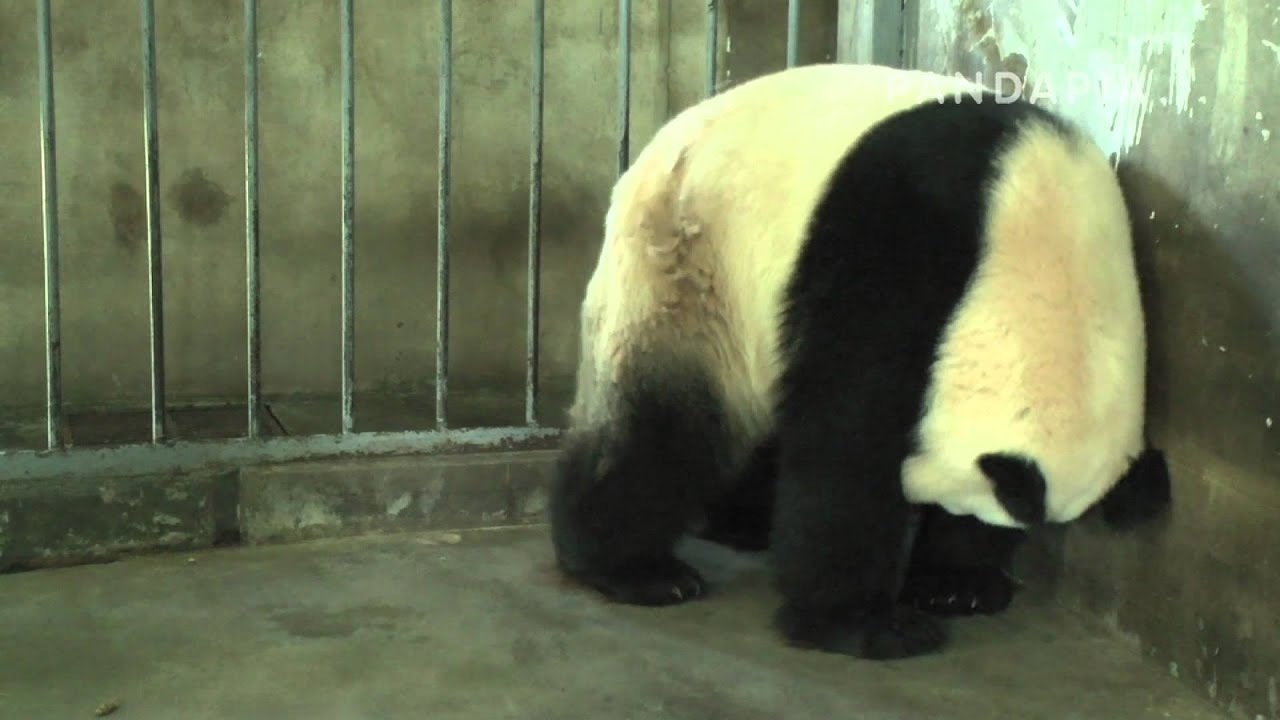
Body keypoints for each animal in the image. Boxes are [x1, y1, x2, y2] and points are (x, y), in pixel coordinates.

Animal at [548, 63, 1171, 660]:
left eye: (980, 515)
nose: (939, 514)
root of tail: (650, 154)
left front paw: (958, 585)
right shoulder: (899, 240)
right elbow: (848, 434)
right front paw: (866, 624)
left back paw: (742, 523)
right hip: (690, 268)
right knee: (666, 421)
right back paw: (636, 568)